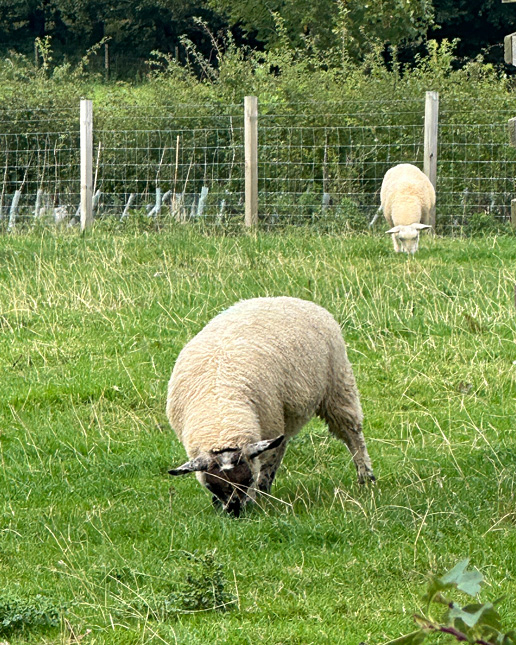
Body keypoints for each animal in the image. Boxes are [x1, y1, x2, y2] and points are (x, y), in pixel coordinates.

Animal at [167, 296, 375, 516]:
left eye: (247, 479)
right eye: (211, 485)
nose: (235, 512)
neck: (222, 412)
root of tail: (287, 298)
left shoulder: (267, 430)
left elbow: (265, 464)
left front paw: (257, 495)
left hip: (337, 386)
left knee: (352, 434)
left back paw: (365, 476)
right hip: (286, 414)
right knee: (282, 444)